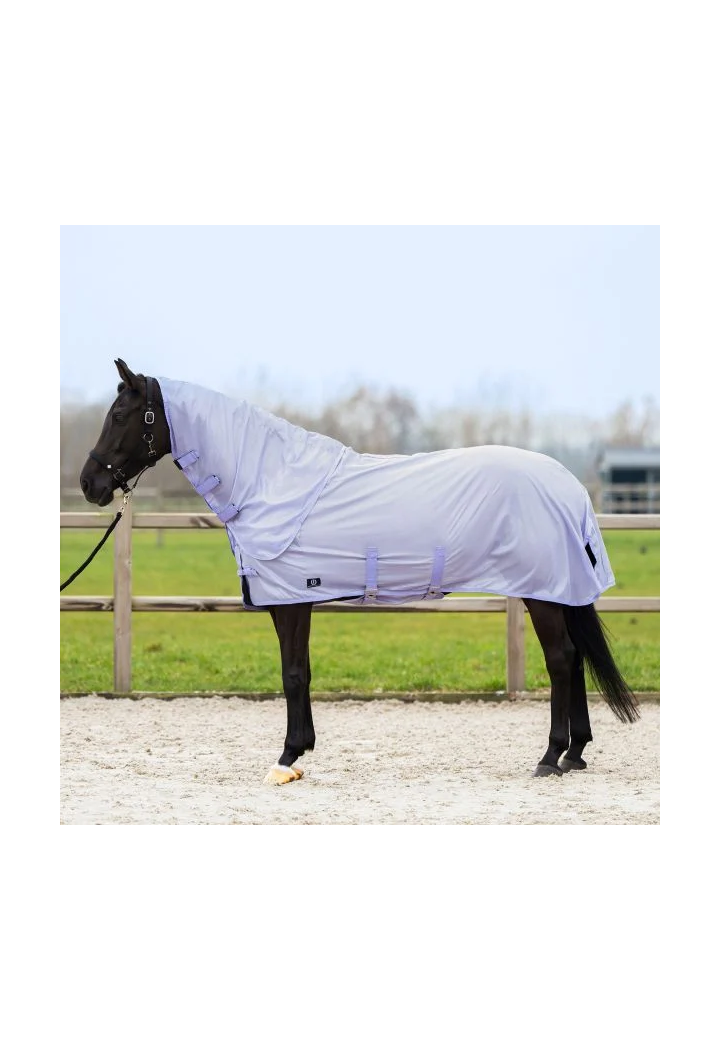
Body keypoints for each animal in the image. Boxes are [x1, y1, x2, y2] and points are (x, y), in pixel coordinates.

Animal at [79, 359, 639, 784]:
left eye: (120, 414)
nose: (88, 484)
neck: (271, 483)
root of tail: (570, 487)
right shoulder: (291, 601)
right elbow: (300, 672)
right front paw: (299, 754)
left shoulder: (291, 600)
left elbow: (293, 673)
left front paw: (287, 757)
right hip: (558, 590)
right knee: (576, 657)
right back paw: (574, 753)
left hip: (541, 591)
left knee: (562, 659)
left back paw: (549, 757)